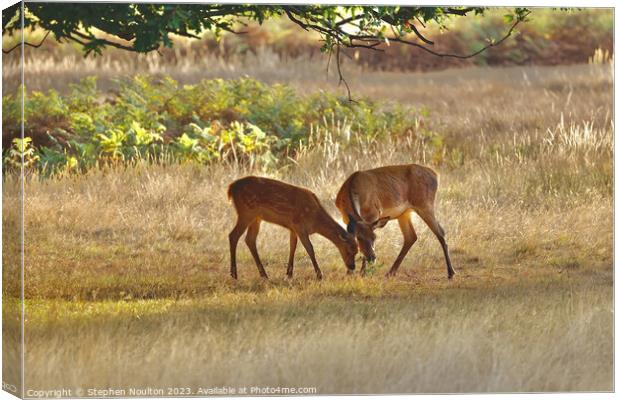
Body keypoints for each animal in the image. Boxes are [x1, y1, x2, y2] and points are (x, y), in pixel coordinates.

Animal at [226, 177, 358, 280]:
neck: (315, 221)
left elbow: (292, 247)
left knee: (250, 239)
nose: (352, 267)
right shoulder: (300, 226)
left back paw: (264, 274)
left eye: (357, 250)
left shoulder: (293, 228)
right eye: (349, 250)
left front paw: (289, 274)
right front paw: (319, 274)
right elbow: (310, 249)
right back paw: (234, 274)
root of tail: (231, 188)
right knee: (233, 235)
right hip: (246, 212)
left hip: (256, 217)